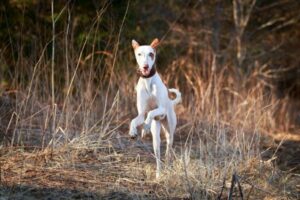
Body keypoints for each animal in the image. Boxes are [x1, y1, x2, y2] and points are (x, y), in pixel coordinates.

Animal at [128, 38, 182, 177]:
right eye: (139, 54)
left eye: (151, 54)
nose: (145, 66)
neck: (148, 81)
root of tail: (171, 103)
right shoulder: (141, 113)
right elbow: (135, 119)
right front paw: (133, 132)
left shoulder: (161, 110)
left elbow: (151, 112)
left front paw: (145, 127)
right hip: (156, 138)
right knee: (158, 154)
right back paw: (158, 174)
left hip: (169, 132)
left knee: (168, 152)